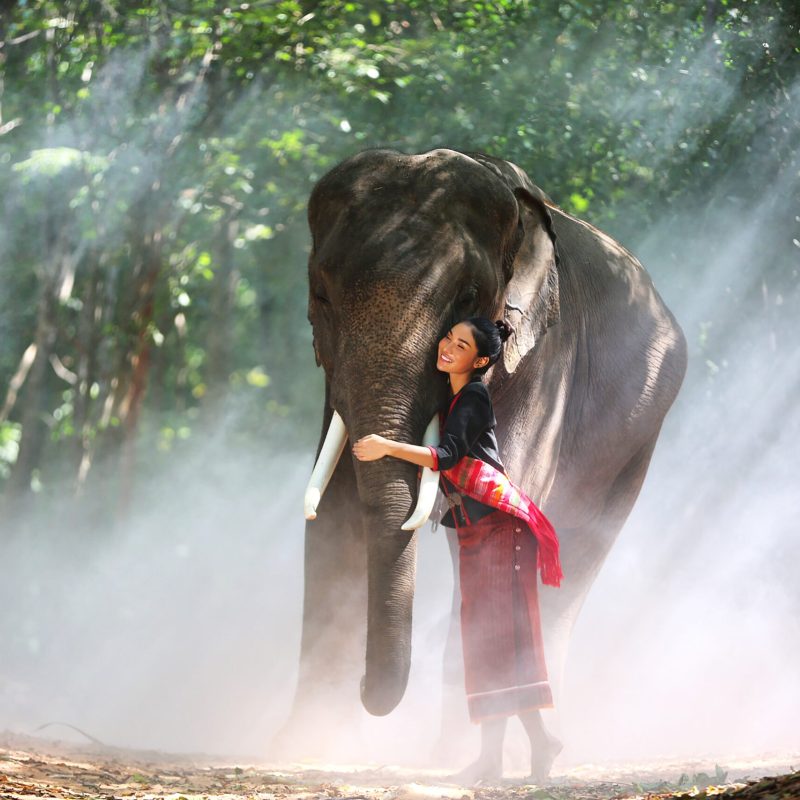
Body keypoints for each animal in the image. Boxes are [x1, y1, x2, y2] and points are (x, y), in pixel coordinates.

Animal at [280, 147, 687, 760]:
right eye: (321, 296)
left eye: (467, 299)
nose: (366, 691)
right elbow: (335, 514)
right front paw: (306, 743)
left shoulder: (544, 362)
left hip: (636, 439)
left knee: (574, 556)